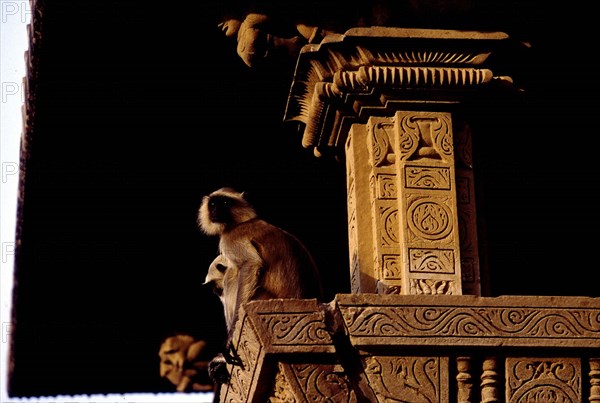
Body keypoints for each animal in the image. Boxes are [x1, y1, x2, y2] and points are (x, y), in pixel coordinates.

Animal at [198, 188, 324, 346]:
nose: (216, 211)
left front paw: (233, 330)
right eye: (213, 204)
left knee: (232, 275)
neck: (240, 223)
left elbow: (251, 263)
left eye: (225, 203)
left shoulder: (230, 238)